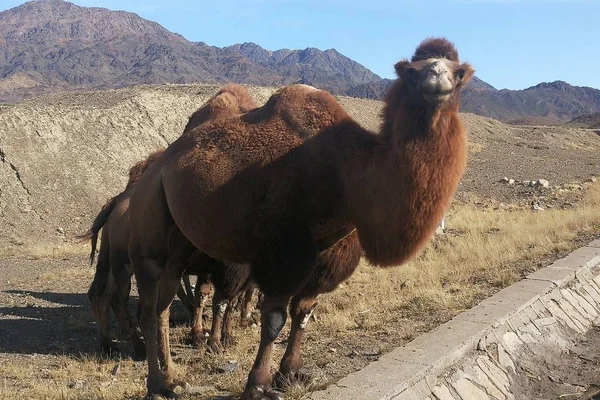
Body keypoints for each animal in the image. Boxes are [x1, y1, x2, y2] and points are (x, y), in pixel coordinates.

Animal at [129, 38, 476, 400]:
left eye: (459, 72)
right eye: (412, 71)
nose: (436, 81)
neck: (349, 170)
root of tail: (156, 167)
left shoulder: (326, 254)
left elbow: (304, 312)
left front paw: (291, 373)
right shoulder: (284, 251)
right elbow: (274, 319)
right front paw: (259, 385)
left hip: (182, 244)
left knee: (163, 304)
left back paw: (171, 378)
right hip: (150, 233)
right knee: (150, 308)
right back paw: (158, 384)